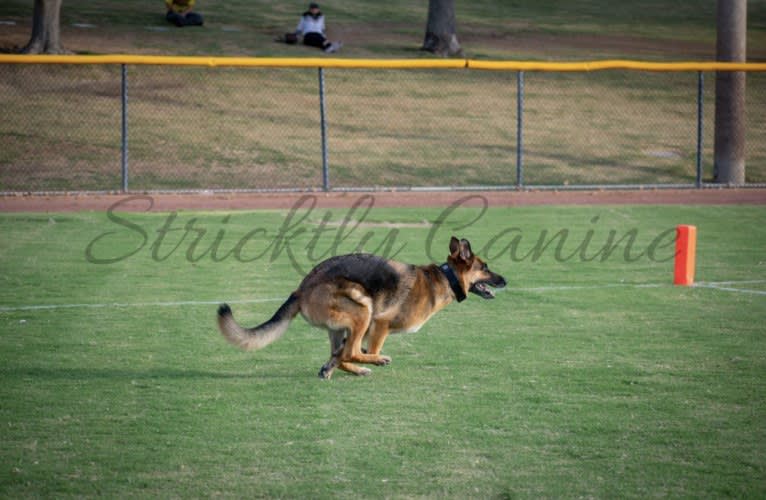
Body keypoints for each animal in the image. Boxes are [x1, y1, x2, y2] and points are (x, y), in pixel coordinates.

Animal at [216, 236, 508, 376]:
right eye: (485, 267)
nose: (505, 280)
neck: (444, 278)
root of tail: (301, 288)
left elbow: (338, 357)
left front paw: (329, 368)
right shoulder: (380, 324)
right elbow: (359, 349)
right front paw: (375, 356)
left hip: (340, 327)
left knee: (342, 353)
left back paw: (351, 369)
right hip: (363, 310)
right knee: (351, 351)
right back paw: (375, 360)